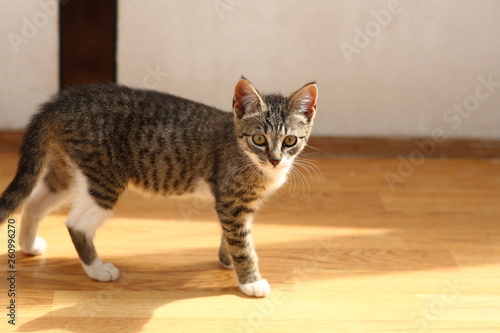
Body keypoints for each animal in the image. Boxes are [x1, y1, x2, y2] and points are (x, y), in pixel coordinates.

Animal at [0, 77, 318, 296]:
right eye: (259, 139)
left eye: (290, 140)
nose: (275, 160)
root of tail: (61, 100)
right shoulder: (231, 200)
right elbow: (243, 244)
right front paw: (250, 281)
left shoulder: (239, 205)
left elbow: (235, 235)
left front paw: (225, 258)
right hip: (104, 177)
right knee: (76, 223)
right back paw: (98, 269)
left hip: (68, 169)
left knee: (34, 201)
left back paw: (28, 245)